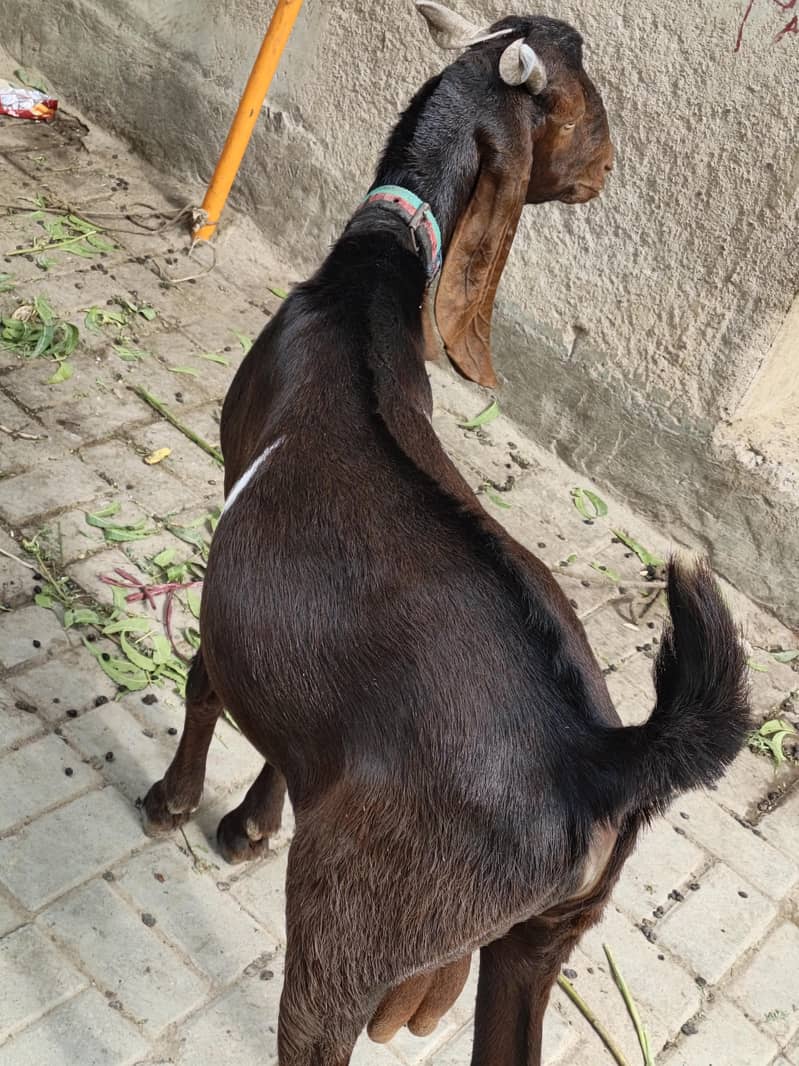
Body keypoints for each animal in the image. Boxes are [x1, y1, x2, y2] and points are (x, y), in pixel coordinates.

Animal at [143, 5, 750, 1063]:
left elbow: (208, 681)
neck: (365, 295)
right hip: (539, 938)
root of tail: (601, 759)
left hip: (363, 908)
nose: (605, 172)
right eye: (578, 104)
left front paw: (173, 804)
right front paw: (249, 824)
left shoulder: (230, 502)